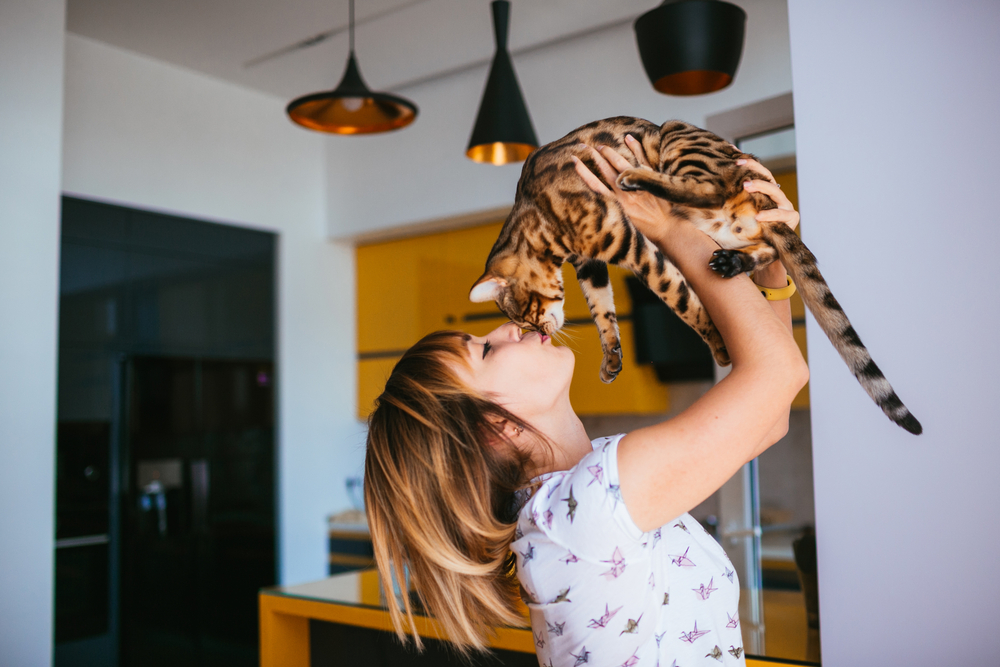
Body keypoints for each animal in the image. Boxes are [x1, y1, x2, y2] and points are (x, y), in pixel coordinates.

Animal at [468, 117, 920, 436]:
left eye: (526, 315)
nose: (542, 334)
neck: (539, 218)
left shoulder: (629, 244)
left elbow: (681, 300)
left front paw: (718, 345)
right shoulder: (591, 262)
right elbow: (602, 310)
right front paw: (611, 357)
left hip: (678, 136)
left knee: (712, 187)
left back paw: (637, 177)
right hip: (724, 226)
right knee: (766, 244)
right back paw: (732, 262)